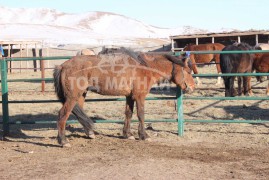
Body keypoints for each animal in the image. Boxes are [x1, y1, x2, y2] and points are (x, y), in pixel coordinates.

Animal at [52, 48, 195, 147]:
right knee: (62, 115)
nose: (192, 87)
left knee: (79, 113)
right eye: (188, 71)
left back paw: (90, 133)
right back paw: (63, 141)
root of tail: (62, 66)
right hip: (72, 97)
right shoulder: (140, 97)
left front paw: (128, 134)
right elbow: (140, 114)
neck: (145, 67)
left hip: (80, 96)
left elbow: (128, 114)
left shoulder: (130, 97)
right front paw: (144, 135)